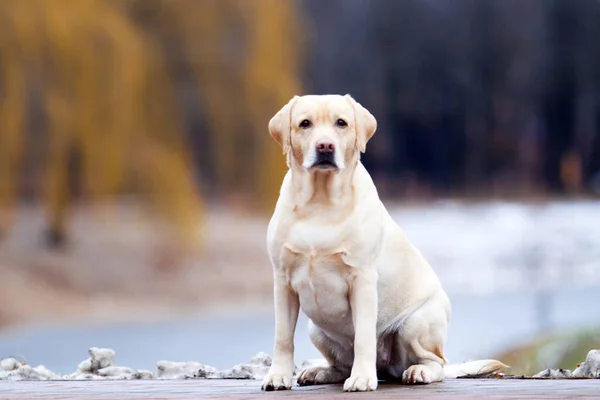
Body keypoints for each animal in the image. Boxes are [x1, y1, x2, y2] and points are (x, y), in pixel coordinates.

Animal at [262, 95, 506, 392]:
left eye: (341, 123)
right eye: (304, 124)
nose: (325, 146)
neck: (319, 202)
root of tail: (386, 367)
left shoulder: (363, 280)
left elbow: (364, 336)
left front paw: (362, 378)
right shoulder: (282, 282)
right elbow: (283, 337)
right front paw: (278, 376)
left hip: (416, 323)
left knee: (437, 363)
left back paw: (417, 371)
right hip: (316, 329)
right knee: (342, 365)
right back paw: (321, 371)